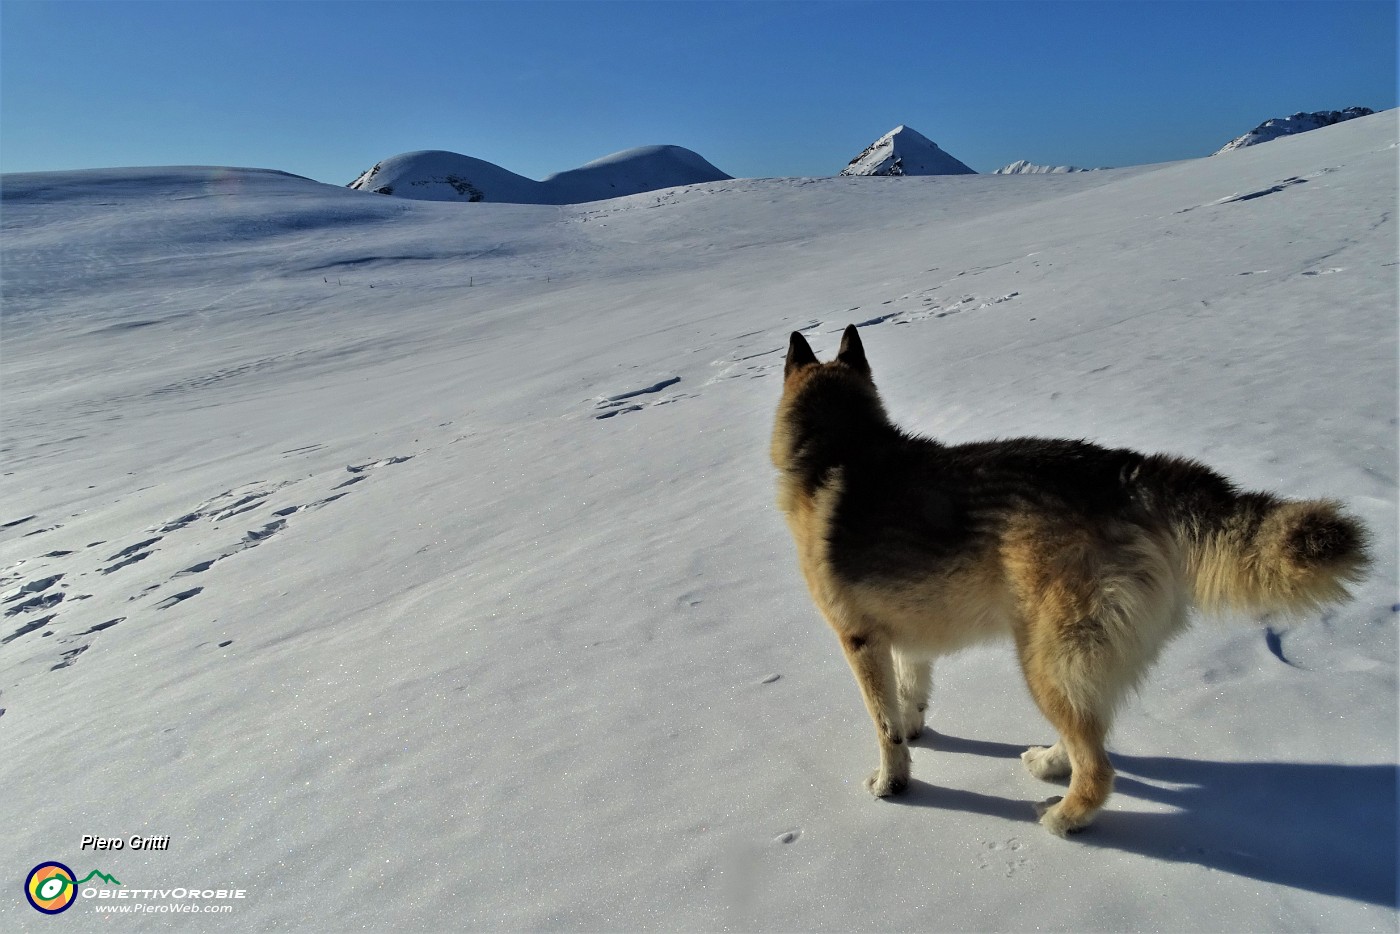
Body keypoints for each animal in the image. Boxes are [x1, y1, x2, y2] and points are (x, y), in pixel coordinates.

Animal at [767, 324, 1366, 834]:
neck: (838, 447)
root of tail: (1125, 470)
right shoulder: (906, 638)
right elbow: (910, 698)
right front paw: (918, 735)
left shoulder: (858, 640)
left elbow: (884, 726)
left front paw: (893, 784)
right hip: (1061, 659)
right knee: (1088, 735)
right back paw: (1049, 765)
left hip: (1044, 658)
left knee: (1099, 767)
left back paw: (1063, 818)